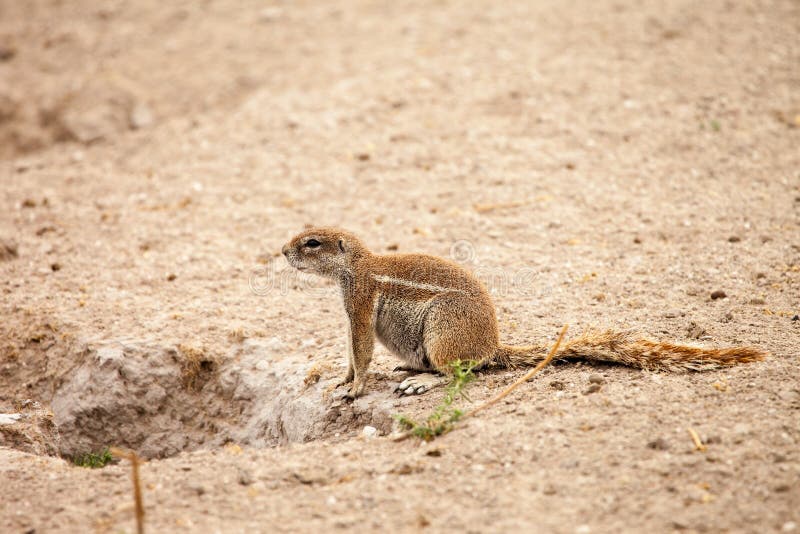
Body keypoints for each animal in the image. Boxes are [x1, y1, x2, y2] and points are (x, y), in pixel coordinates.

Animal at [282, 227, 767, 398]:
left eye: (311, 242)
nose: (282, 251)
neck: (355, 265)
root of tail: (493, 347)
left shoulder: (360, 304)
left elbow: (361, 350)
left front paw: (354, 388)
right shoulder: (349, 314)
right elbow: (350, 351)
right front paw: (341, 379)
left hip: (442, 331)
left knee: (460, 373)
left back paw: (422, 381)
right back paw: (409, 368)